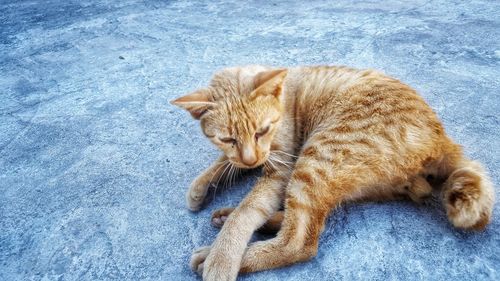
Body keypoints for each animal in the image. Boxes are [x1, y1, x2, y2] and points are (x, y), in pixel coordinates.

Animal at [170, 65, 494, 280]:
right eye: (227, 139)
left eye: (262, 130)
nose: (252, 159)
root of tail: (442, 138)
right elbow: (224, 164)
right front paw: (201, 186)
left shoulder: (281, 168)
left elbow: (248, 210)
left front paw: (223, 257)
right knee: (315, 214)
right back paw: (227, 217)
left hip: (318, 158)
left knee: (300, 240)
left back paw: (216, 252)